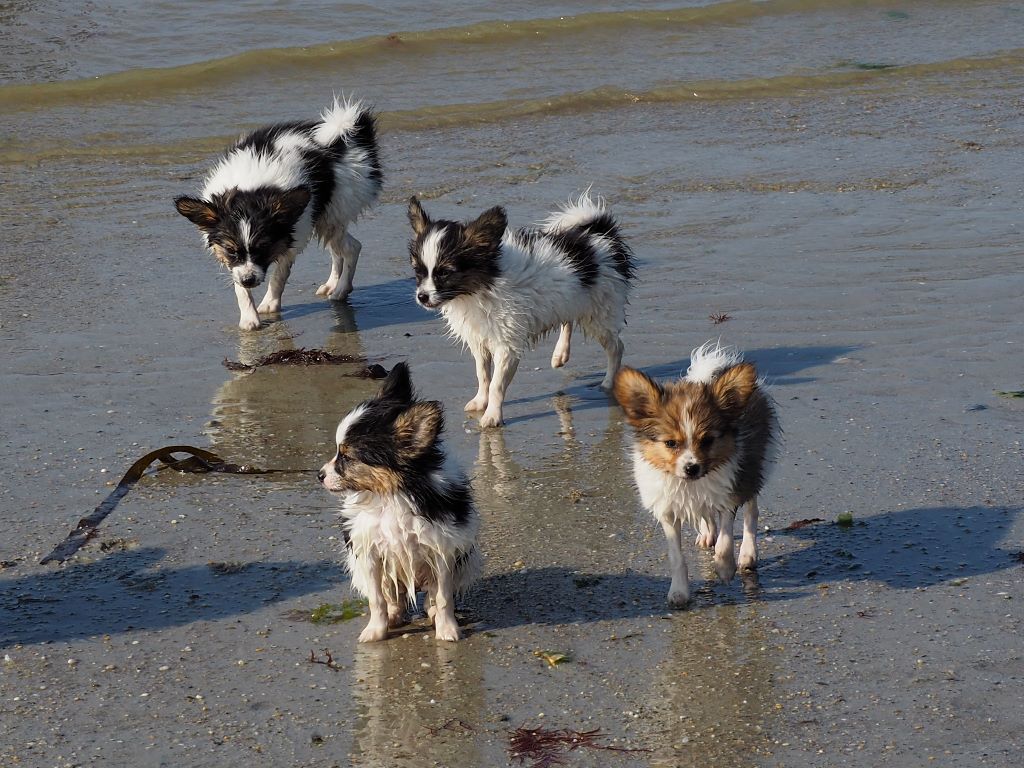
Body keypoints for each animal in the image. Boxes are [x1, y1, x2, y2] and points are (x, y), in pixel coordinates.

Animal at [176, 97, 385, 329]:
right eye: (231, 250)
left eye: (263, 248)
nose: (250, 280)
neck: (251, 190)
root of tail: (350, 135)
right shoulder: (236, 264)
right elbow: (240, 288)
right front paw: (249, 317)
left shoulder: (290, 238)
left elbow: (279, 276)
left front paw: (269, 304)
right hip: (327, 218)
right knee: (339, 249)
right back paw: (332, 284)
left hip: (334, 212)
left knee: (352, 248)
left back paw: (341, 290)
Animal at [315, 364, 479, 638]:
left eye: (346, 457)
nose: (319, 475)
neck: (390, 496)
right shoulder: (370, 554)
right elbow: (377, 600)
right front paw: (376, 632)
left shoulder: (442, 551)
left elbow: (444, 597)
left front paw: (447, 629)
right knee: (394, 598)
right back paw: (393, 616)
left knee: (430, 596)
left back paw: (432, 613)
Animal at [405, 192, 630, 430]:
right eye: (418, 271)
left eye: (445, 273)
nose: (422, 297)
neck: (480, 288)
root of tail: (600, 235)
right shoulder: (479, 340)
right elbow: (482, 374)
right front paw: (481, 401)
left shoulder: (507, 345)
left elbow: (496, 384)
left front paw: (492, 415)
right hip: (571, 299)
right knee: (567, 320)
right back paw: (560, 354)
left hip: (600, 314)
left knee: (616, 348)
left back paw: (607, 382)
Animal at [614, 346, 774, 610]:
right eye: (670, 443)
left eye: (707, 440)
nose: (692, 468)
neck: (690, 485)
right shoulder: (667, 511)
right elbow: (676, 557)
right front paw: (679, 592)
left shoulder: (728, 492)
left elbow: (726, 539)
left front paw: (724, 567)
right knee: (705, 514)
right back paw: (707, 533)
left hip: (751, 469)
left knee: (751, 512)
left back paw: (747, 553)